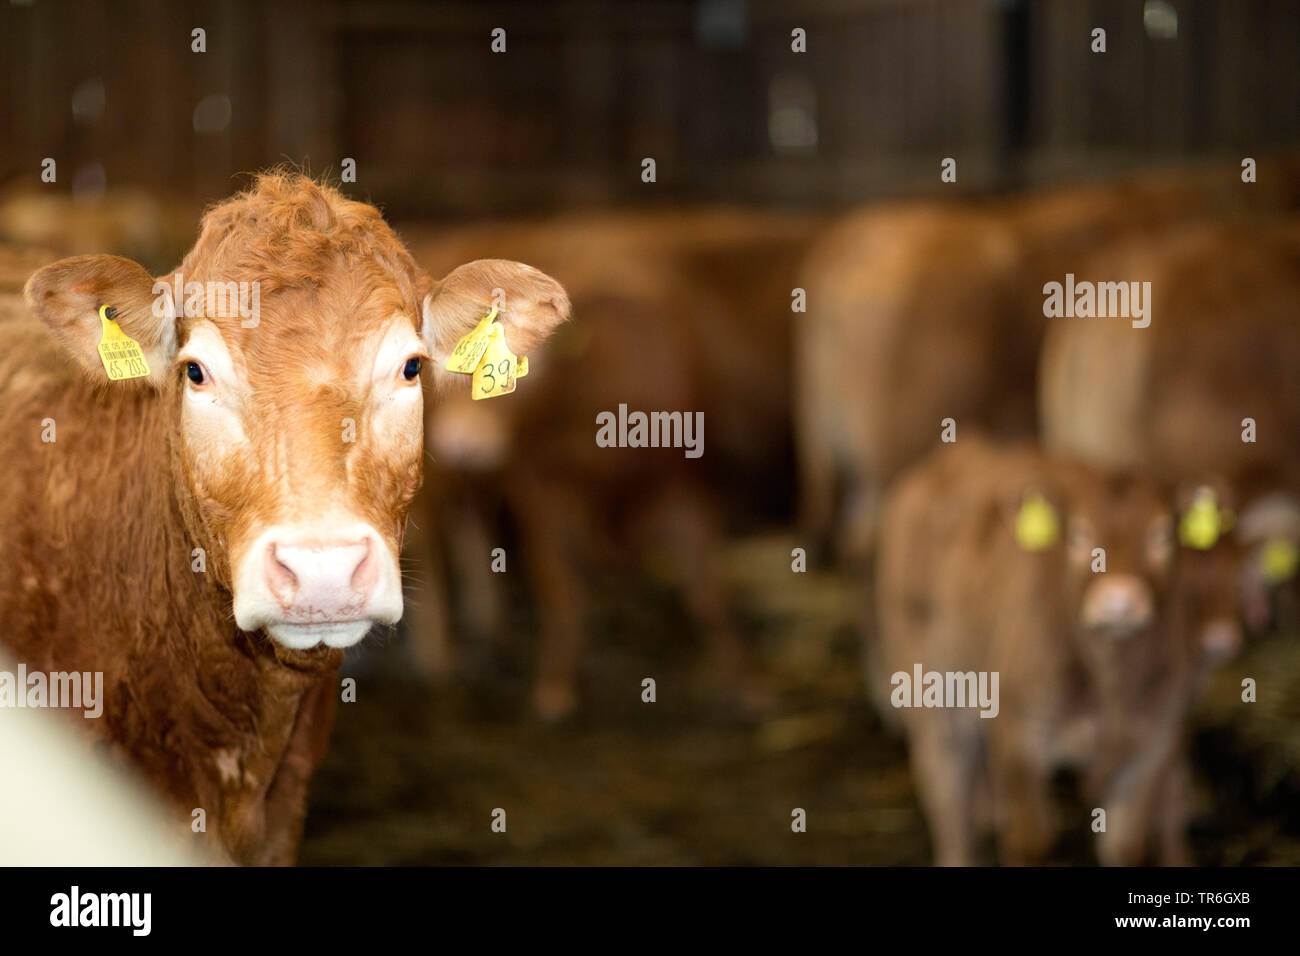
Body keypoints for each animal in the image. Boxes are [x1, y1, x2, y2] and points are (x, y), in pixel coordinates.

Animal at [873, 442, 1206, 868]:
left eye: (1161, 534)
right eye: (1079, 534)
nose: (1118, 602)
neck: (1108, 678)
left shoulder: (1154, 739)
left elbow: (1125, 848)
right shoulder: (1018, 731)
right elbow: (1031, 840)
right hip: (929, 689)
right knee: (947, 795)